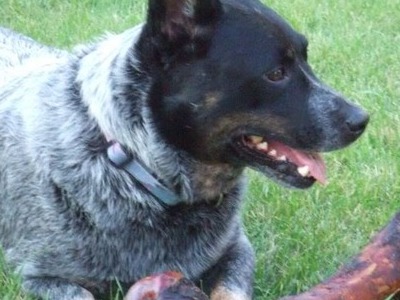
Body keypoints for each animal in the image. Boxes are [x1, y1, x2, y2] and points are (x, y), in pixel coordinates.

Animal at [0, 0, 368, 300]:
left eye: (306, 58)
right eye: (276, 73)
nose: (361, 120)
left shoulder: (236, 249)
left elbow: (230, 290)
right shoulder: (41, 276)